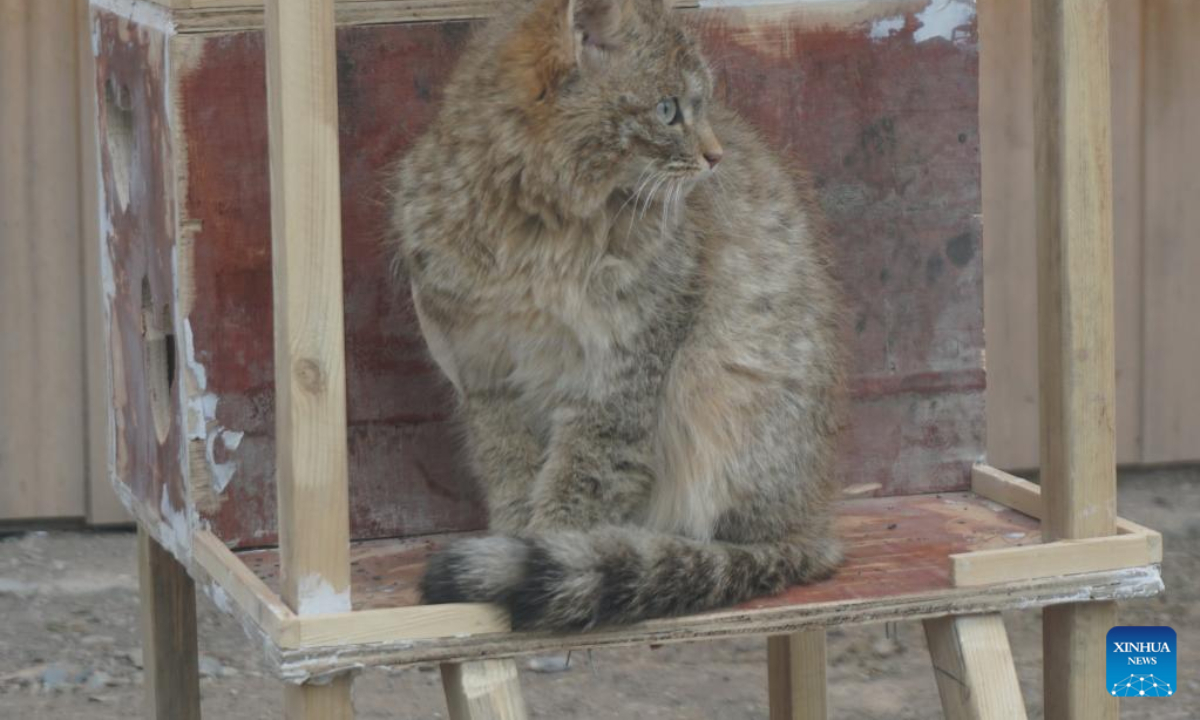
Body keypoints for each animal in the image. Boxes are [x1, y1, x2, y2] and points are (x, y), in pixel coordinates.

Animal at [393, 0, 844, 628]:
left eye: (701, 105)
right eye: (668, 109)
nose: (716, 157)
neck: (535, 231)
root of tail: (813, 524)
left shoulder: (622, 371)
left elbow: (583, 478)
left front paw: (547, 549)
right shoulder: (485, 375)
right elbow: (511, 472)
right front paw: (517, 542)